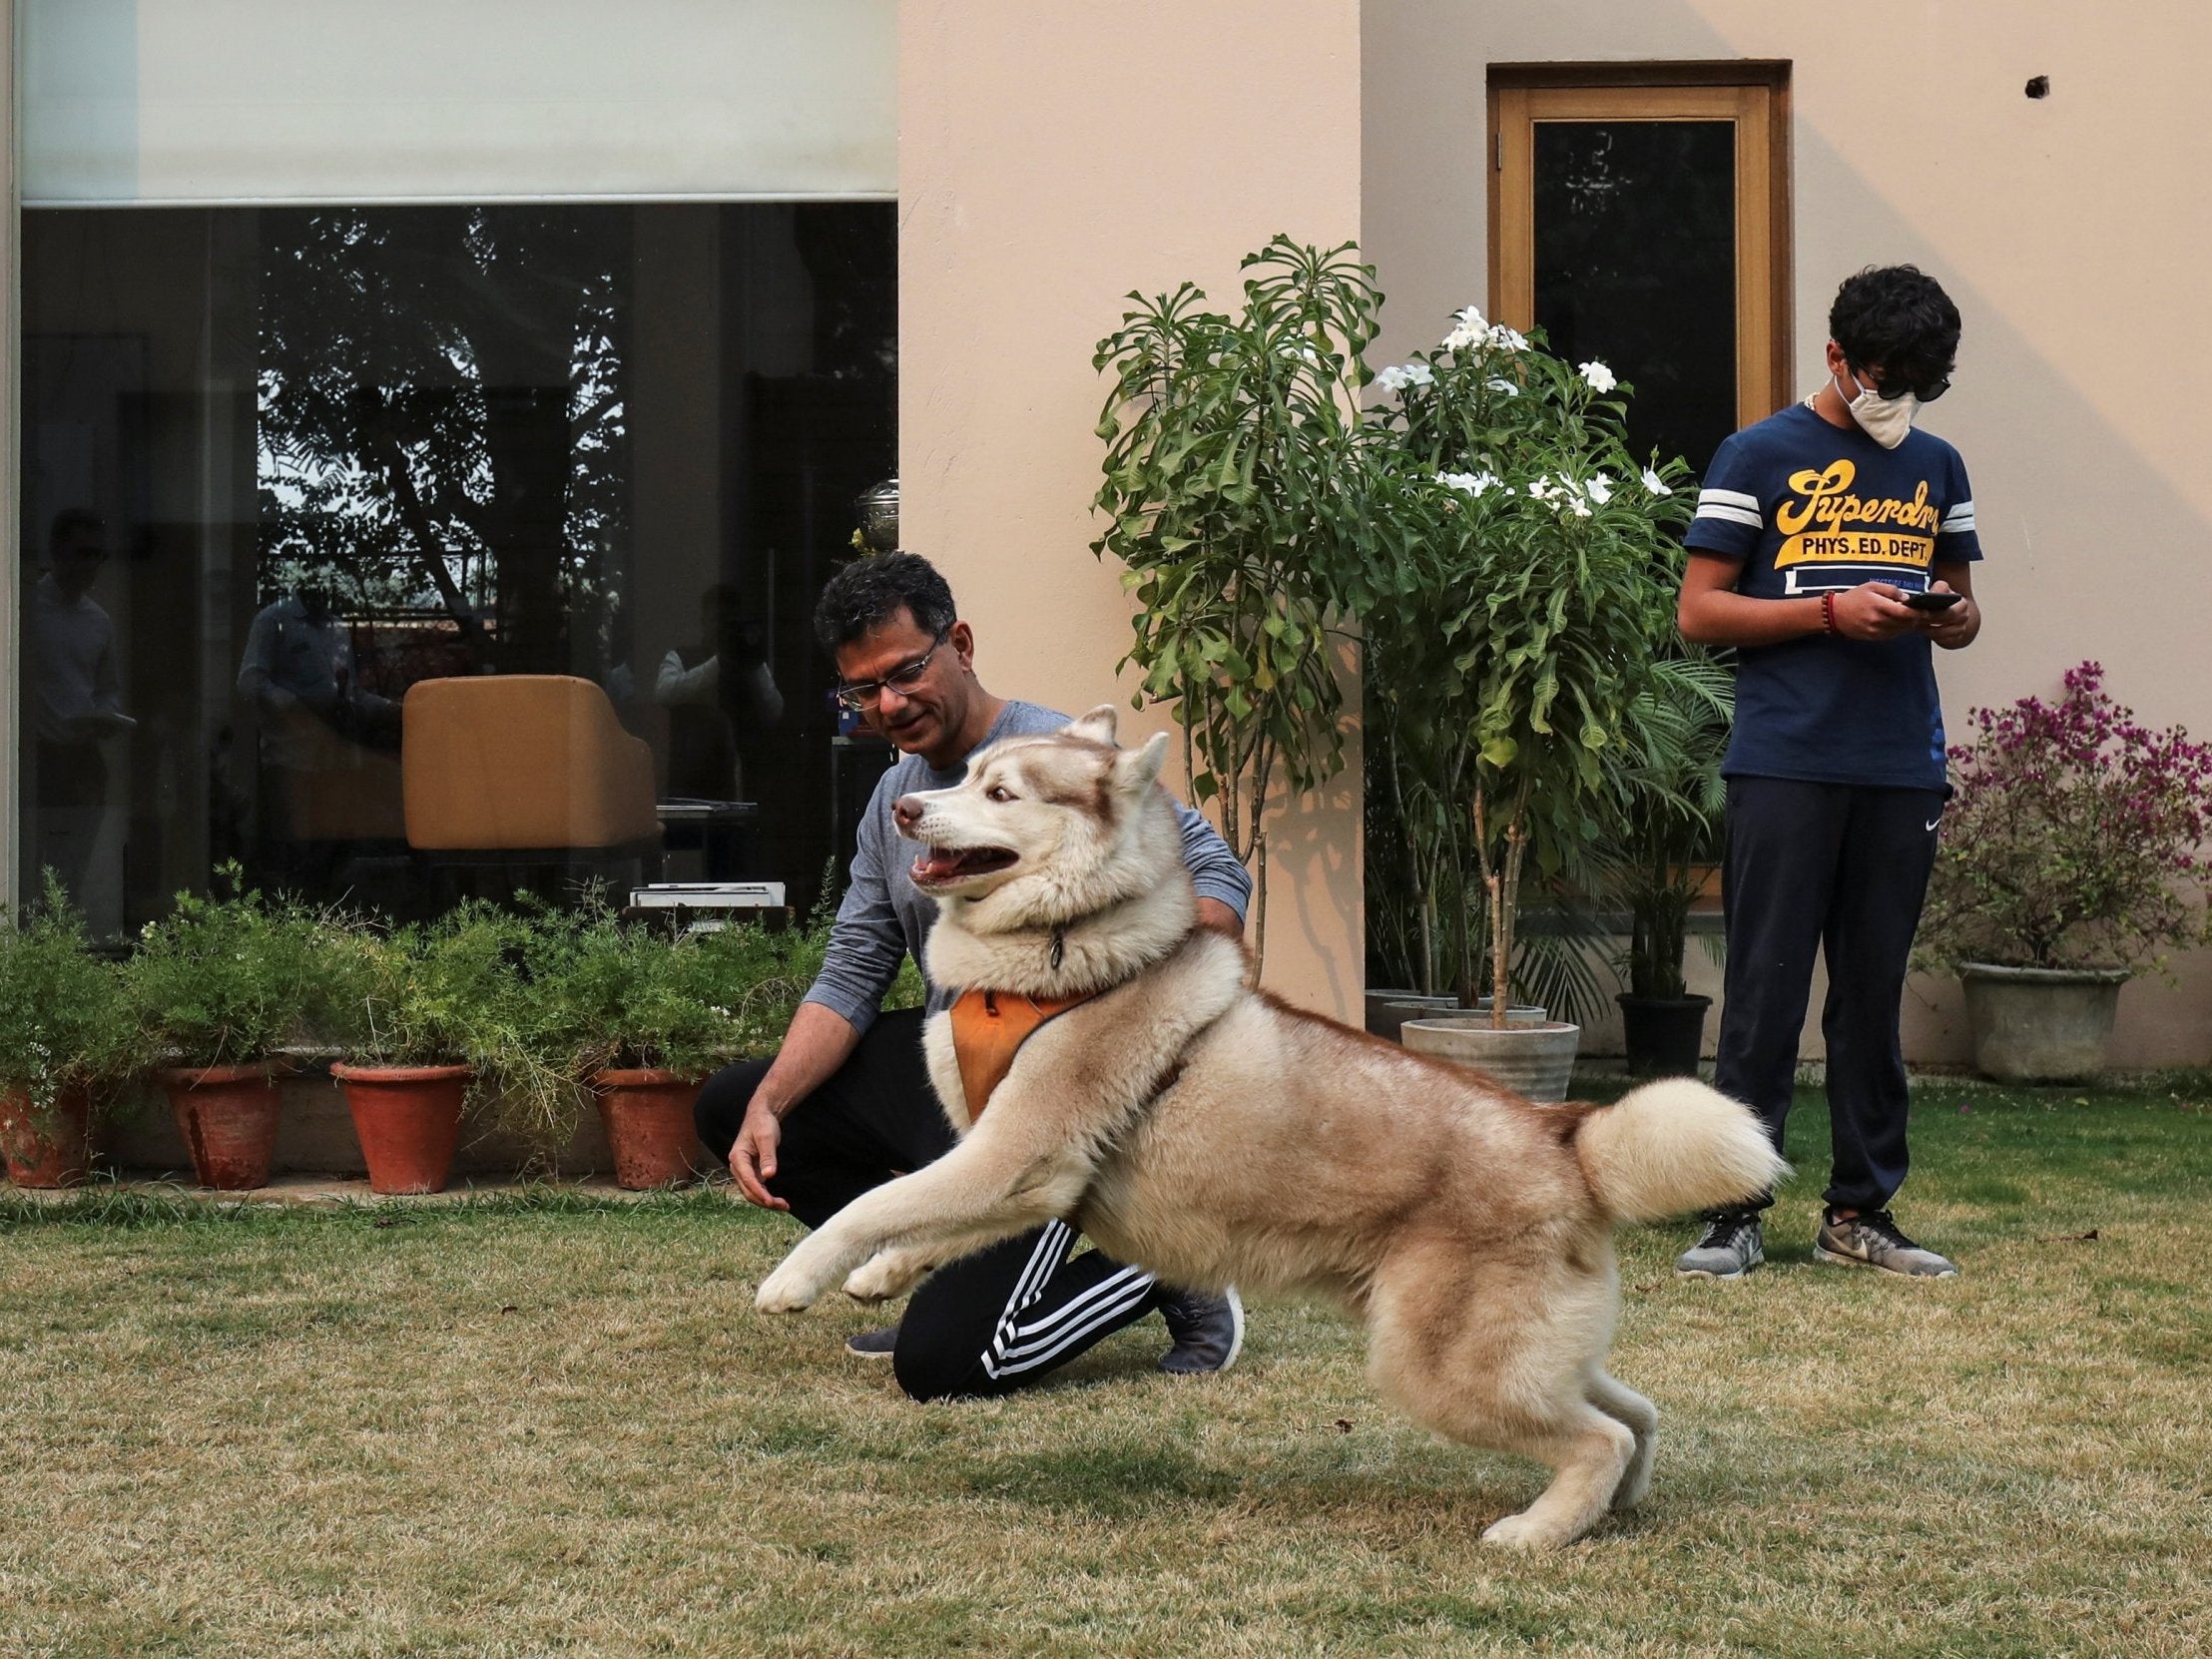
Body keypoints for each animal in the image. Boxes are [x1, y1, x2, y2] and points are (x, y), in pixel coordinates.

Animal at [761, 708, 1778, 1557]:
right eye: (966, 774)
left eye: (1001, 794)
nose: (906, 808)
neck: (1059, 952)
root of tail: (1570, 1140)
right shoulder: (1016, 1176)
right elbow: (919, 1215)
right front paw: (878, 1277)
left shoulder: (1018, 1158)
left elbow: (874, 1202)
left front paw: (794, 1278)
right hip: (1516, 1353)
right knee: (1636, 1415)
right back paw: (1613, 1510)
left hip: (1440, 1367)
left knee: (1597, 1436)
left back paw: (1536, 1531)